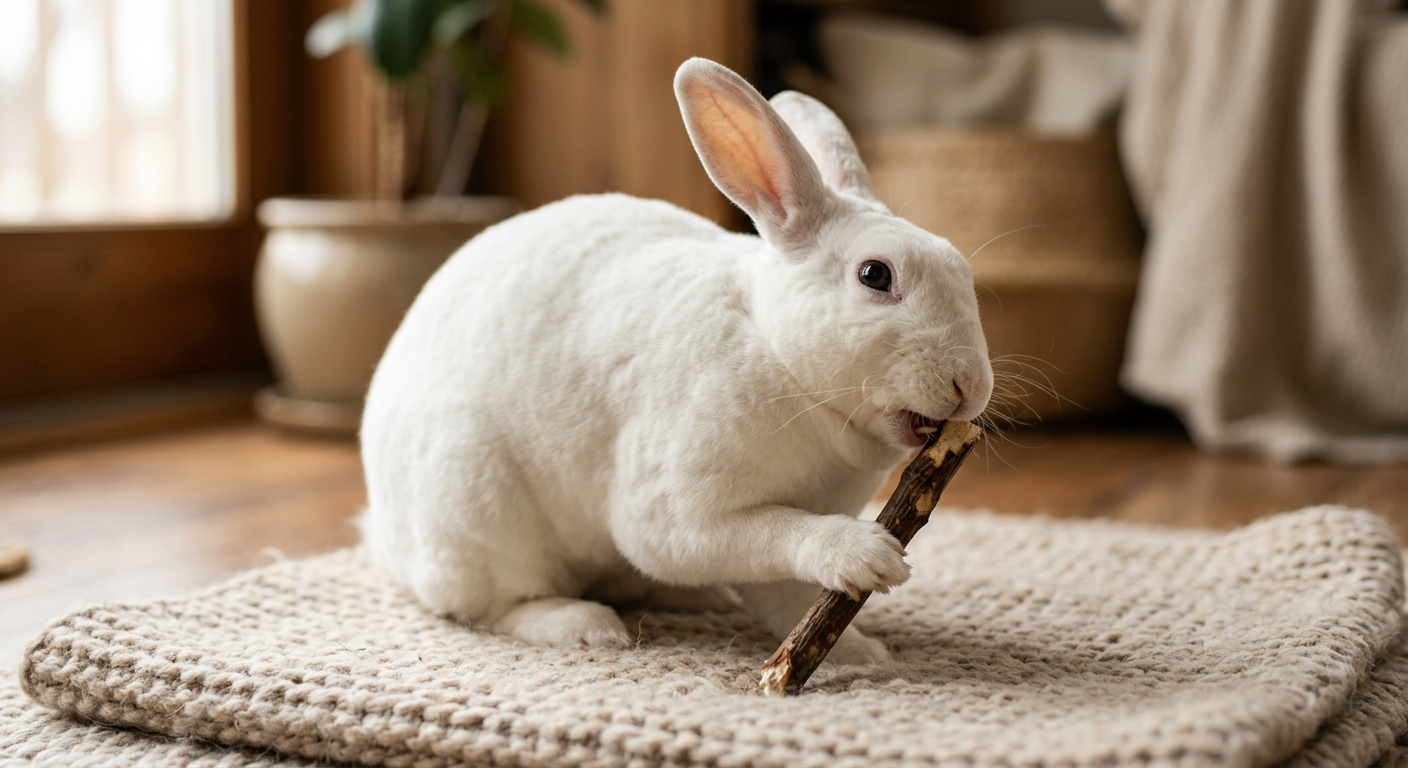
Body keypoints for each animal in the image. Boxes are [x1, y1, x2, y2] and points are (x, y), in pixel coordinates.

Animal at [359, 57, 993, 664]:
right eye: (875, 275)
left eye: (963, 269)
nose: (970, 386)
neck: (777, 351)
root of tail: (386, 534)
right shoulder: (682, 512)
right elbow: (766, 536)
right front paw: (868, 558)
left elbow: (783, 596)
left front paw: (857, 654)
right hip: (478, 511)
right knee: (498, 604)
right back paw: (586, 628)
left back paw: (697, 600)